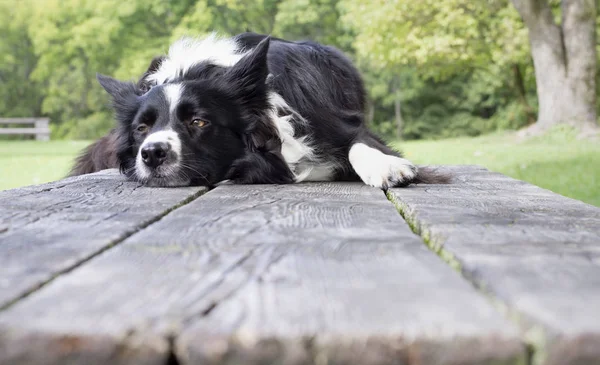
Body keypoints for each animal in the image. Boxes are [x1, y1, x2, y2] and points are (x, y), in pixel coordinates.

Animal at [69, 32, 450, 189]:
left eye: (199, 121)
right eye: (141, 129)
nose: (151, 154)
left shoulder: (335, 122)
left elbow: (360, 142)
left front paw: (386, 166)